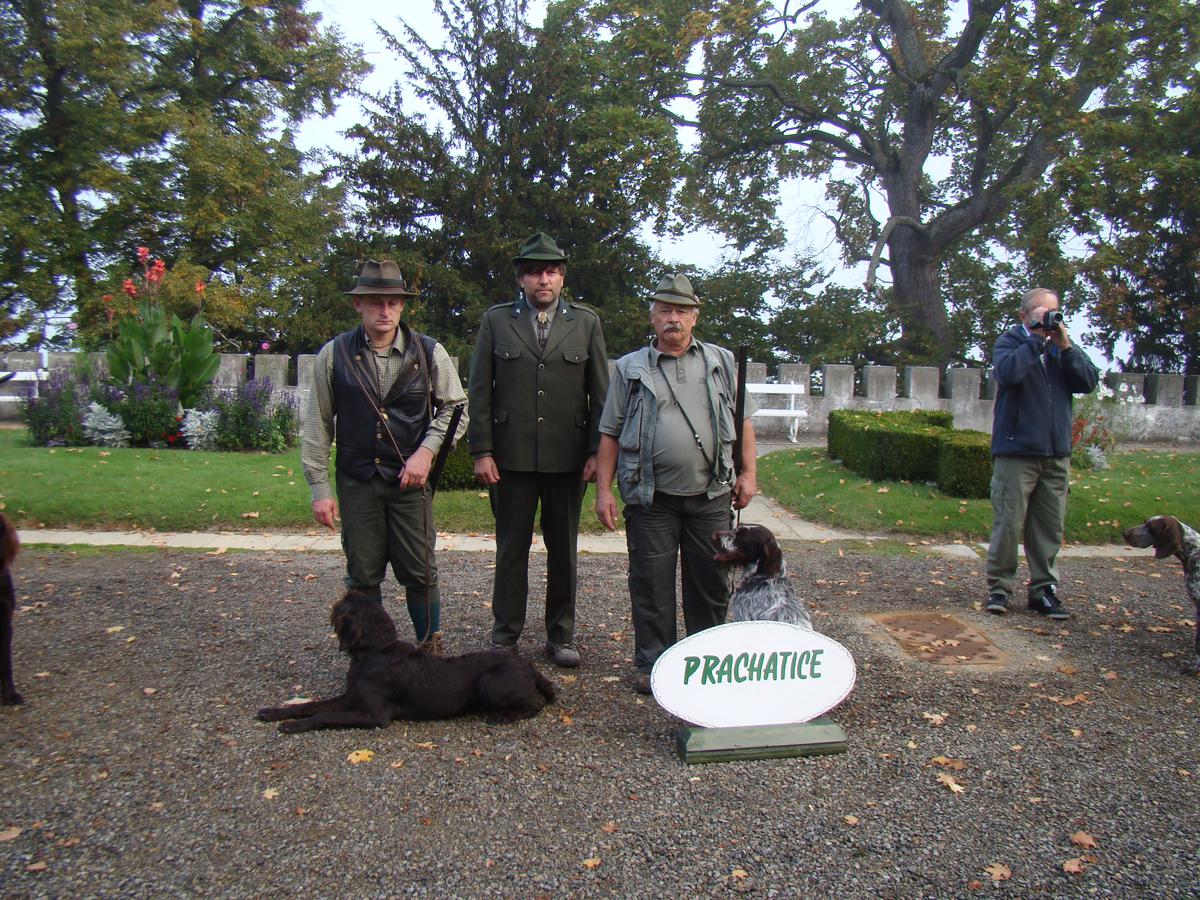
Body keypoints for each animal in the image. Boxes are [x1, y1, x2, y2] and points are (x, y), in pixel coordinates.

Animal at [257, 591, 556, 732]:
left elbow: (324, 715)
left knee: (536, 703)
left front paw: (293, 726)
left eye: (344, 603)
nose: (338, 597)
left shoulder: (374, 715)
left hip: (489, 682)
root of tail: (529, 666)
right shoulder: (350, 698)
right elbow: (311, 705)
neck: (376, 651)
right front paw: (273, 712)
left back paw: (503, 716)